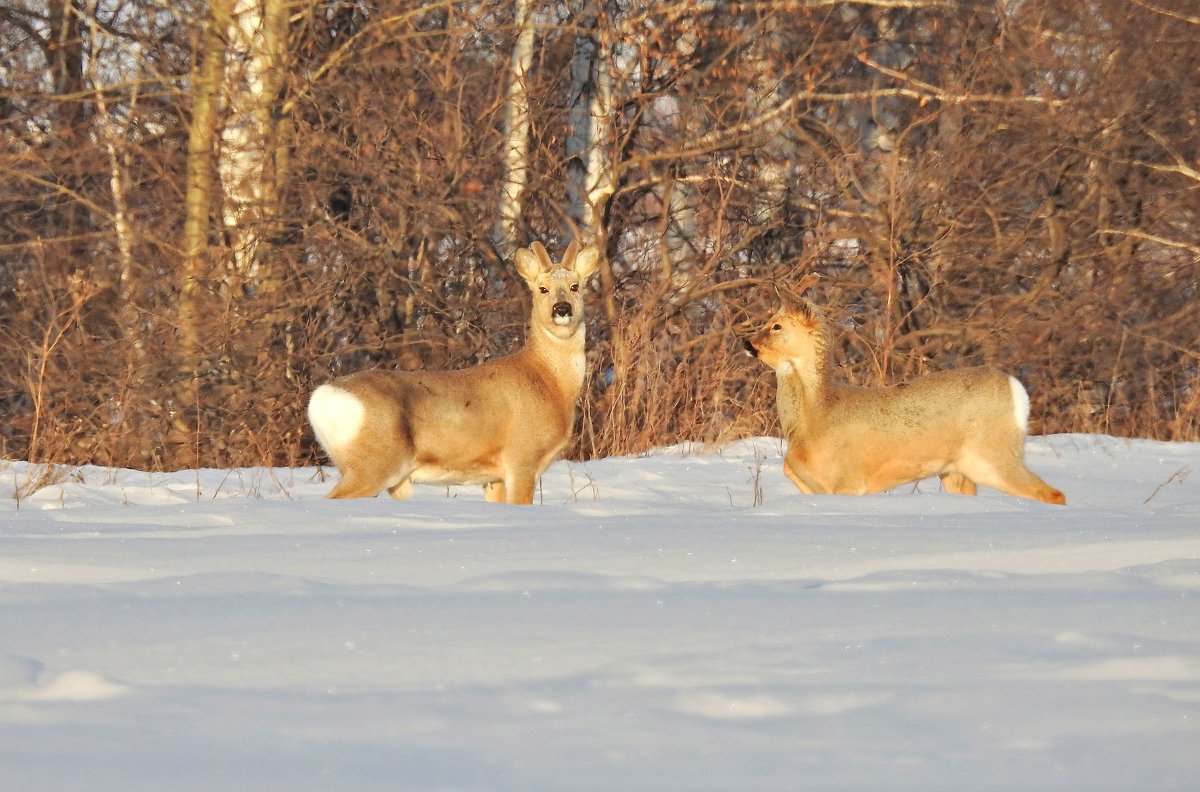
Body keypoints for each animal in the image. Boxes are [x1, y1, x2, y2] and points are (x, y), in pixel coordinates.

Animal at [307, 238, 600, 504]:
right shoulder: (522, 457)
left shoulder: (493, 477)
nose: (561, 308)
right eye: (542, 289)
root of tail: (321, 397)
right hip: (374, 463)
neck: (550, 382)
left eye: (575, 286)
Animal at [744, 294, 1065, 504]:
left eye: (776, 326)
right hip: (957, 470)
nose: (747, 342)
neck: (816, 416)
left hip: (992, 453)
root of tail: (1016, 388)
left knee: (1052, 493)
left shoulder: (847, 481)